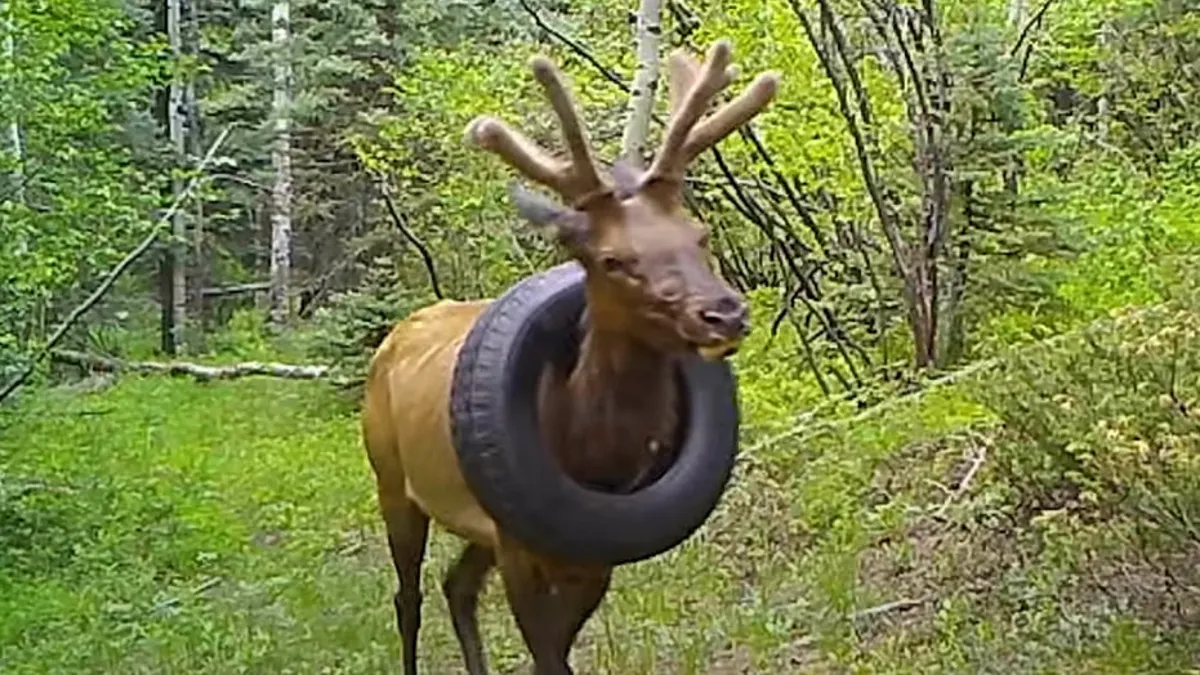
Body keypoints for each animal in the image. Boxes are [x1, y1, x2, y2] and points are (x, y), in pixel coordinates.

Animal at [360, 39, 782, 667]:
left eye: (699, 234)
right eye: (612, 259)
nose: (723, 313)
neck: (588, 454)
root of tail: (395, 335)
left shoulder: (587, 550)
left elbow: (556, 648)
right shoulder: (518, 543)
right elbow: (547, 654)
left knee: (455, 585)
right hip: (391, 478)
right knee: (406, 598)